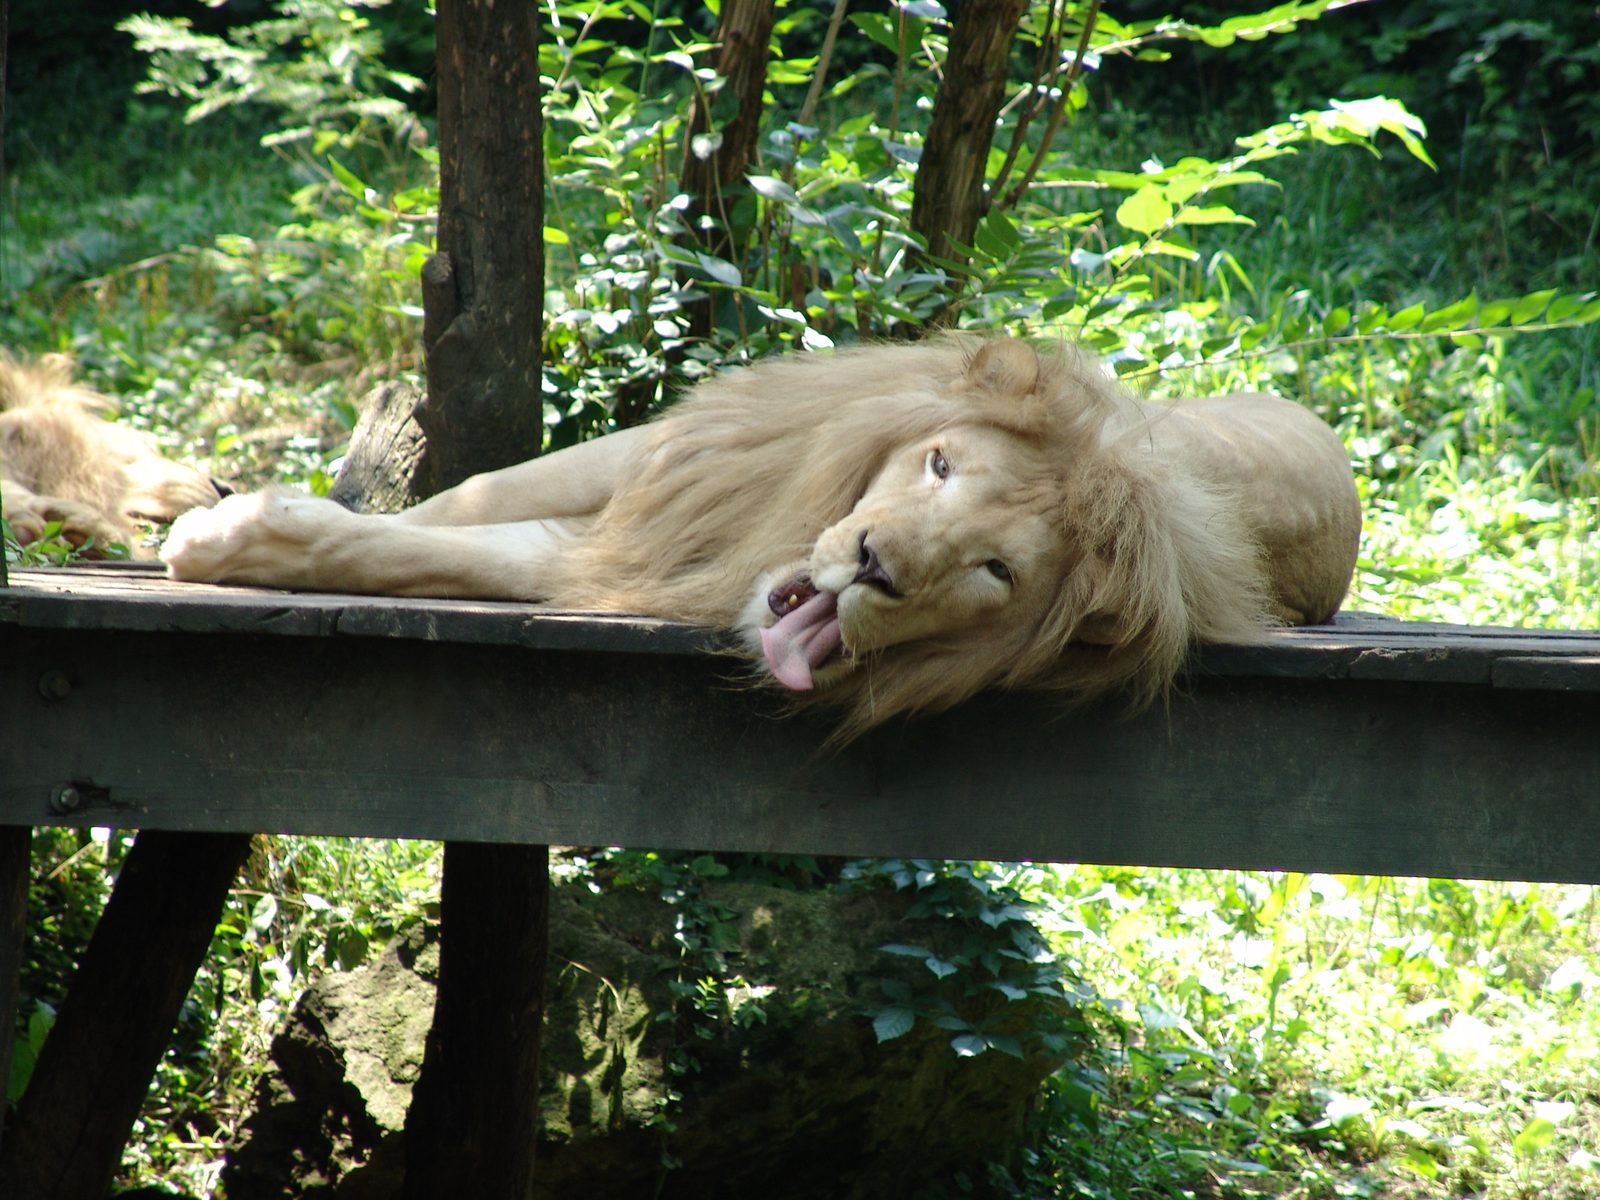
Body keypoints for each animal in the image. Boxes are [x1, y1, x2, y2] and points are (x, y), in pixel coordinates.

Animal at [162, 338, 1360, 736]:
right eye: (939, 465)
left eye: (995, 571)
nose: (875, 565)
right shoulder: (667, 467)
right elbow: (461, 500)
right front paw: (223, 512)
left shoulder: (629, 557)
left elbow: (440, 548)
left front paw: (232, 538)